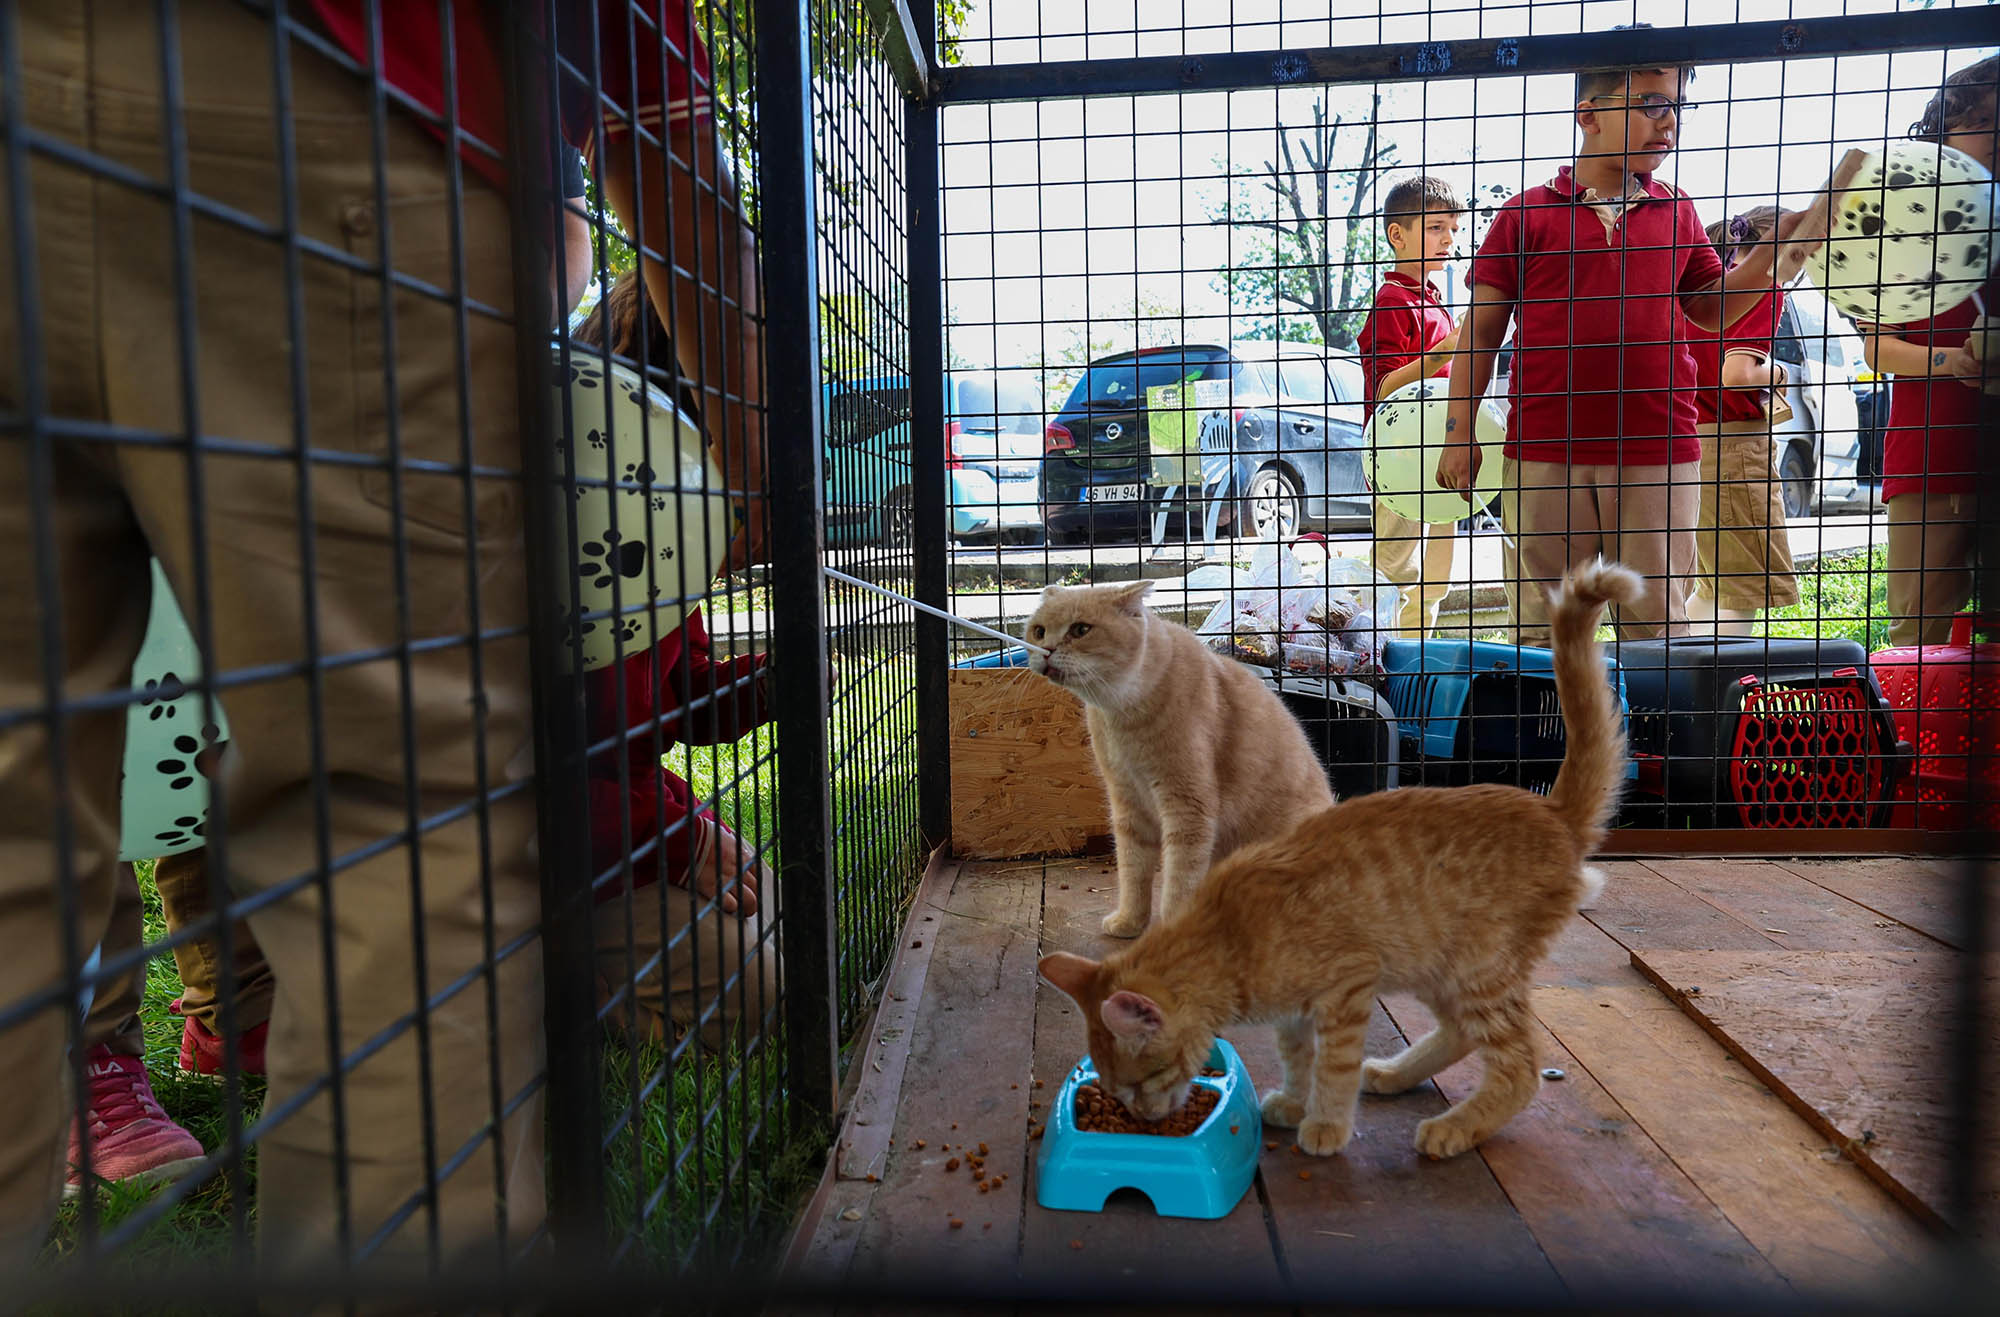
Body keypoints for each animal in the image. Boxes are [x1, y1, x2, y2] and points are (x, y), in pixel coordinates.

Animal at [1024, 576, 1336, 932]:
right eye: (1039, 631)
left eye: (1080, 629)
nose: (1046, 651)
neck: (1123, 709)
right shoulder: (1128, 803)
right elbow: (1133, 872)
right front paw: (1130, 921)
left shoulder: (1187, 806)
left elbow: (1178, 880)